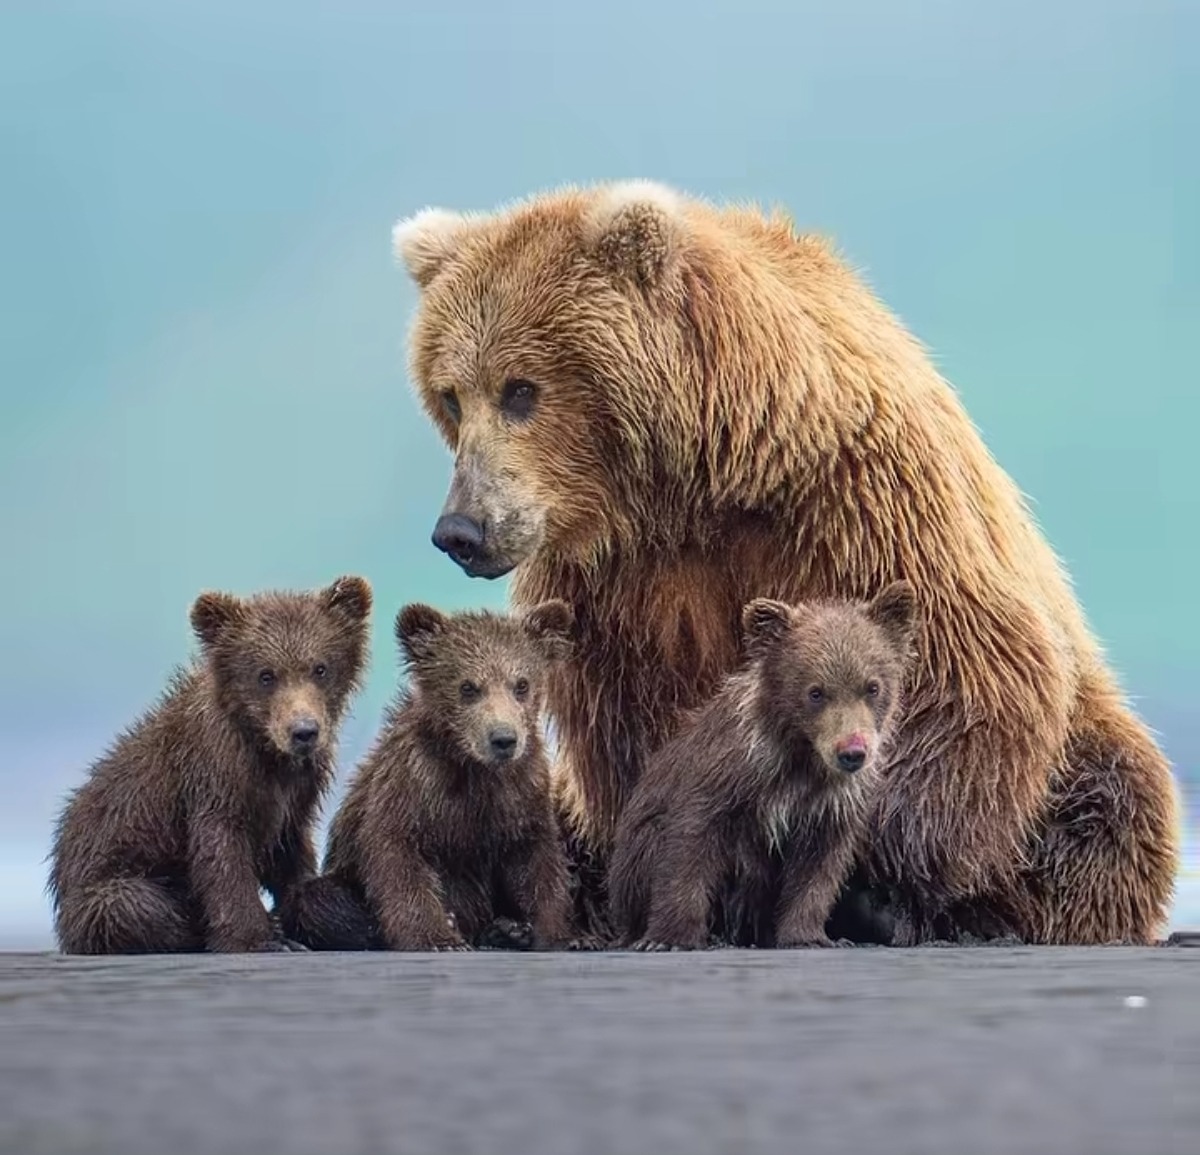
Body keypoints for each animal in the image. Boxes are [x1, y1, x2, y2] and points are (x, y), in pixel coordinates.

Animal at [48, 575, 373, 955]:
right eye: (266, 675)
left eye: (320, 668)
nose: (303, 731)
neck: (264, 749)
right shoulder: (214, 776)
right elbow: (221, 855)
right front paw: (259, 938)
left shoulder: (297, 791)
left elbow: (291, 853)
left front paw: (309, 915)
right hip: (103, 886)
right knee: (127, 905)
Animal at [287, 600, 577, 952]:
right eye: (468, 687)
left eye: (522, 684)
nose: (503, 739)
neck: (475, 769)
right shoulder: (414, 786)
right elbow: (397, 856)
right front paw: (439, 937)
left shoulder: (520, 796)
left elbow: (539, 865)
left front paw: (557, 934)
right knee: (316, 899)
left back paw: (507, 930)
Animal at [610, 582, 916, 952]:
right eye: (815, 692)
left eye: (872, 686)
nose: (852, 752)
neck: (800, 760)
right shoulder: (726, 777)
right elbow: (689, 846)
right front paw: (668, 938)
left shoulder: (830, 804)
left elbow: (817, 870)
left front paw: (810, 935)